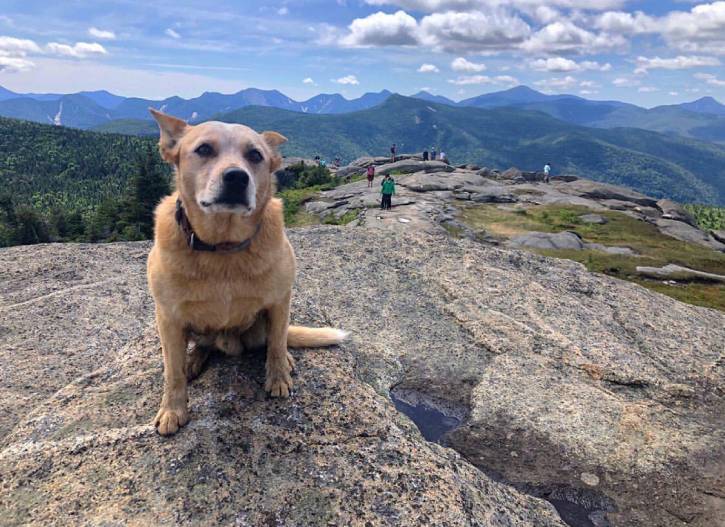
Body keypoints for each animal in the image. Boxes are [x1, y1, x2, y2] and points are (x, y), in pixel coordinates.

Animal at [146, 109, 346, 436]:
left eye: (255, 155)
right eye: (204, 149)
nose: (237, 177)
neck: (223, 248)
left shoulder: (279, 301)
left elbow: (276, 344)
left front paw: (278, 378)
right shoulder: (169, 317)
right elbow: (172, 372)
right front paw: (173, 410)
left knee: (276, 338)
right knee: (202, 346)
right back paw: (193, 360)